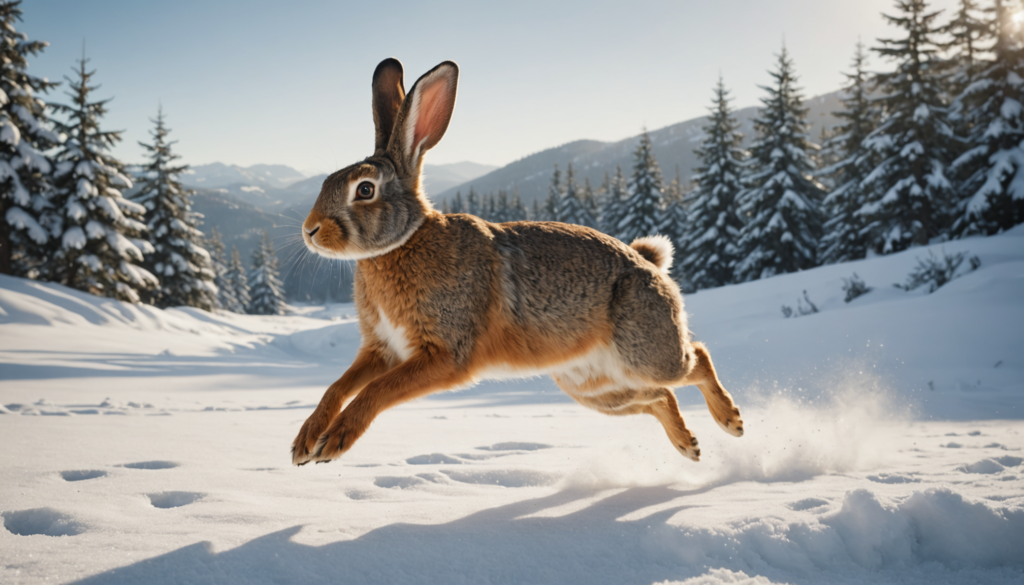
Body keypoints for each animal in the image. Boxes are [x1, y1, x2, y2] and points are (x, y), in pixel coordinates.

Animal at [292, 58, 744, 466]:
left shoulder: (445, 354)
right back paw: (688, 445)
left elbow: (376, 391)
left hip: (644, 354)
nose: (310, 230)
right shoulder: (383, 349)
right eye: (327, 181)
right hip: (593, 388)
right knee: (659, 397)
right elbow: (338, 386)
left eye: (365, 190)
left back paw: (731, 421)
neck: (402, 242)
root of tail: (650, 265)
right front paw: (304, 442)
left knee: (695, 359)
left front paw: (334, 443)